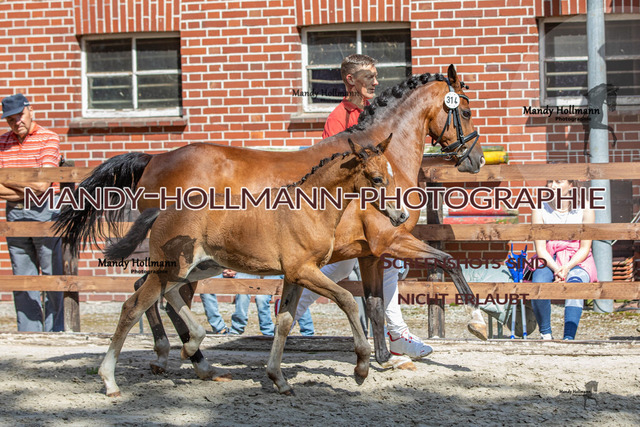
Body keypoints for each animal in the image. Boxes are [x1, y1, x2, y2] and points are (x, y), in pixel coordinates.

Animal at [98, 136, 406, 396]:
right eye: (377, 179)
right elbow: (347, 300)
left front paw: (279, 379)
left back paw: (192, 348)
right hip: (171, 268)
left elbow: (284, 322)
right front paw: (361, 368)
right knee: (134, 306)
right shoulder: (304, 271)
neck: (309, 210)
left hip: (197, 268)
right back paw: (111, 380)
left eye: (391, 176)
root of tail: (163, 210)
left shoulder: (294, 276)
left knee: (168, 295)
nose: (401, 215)